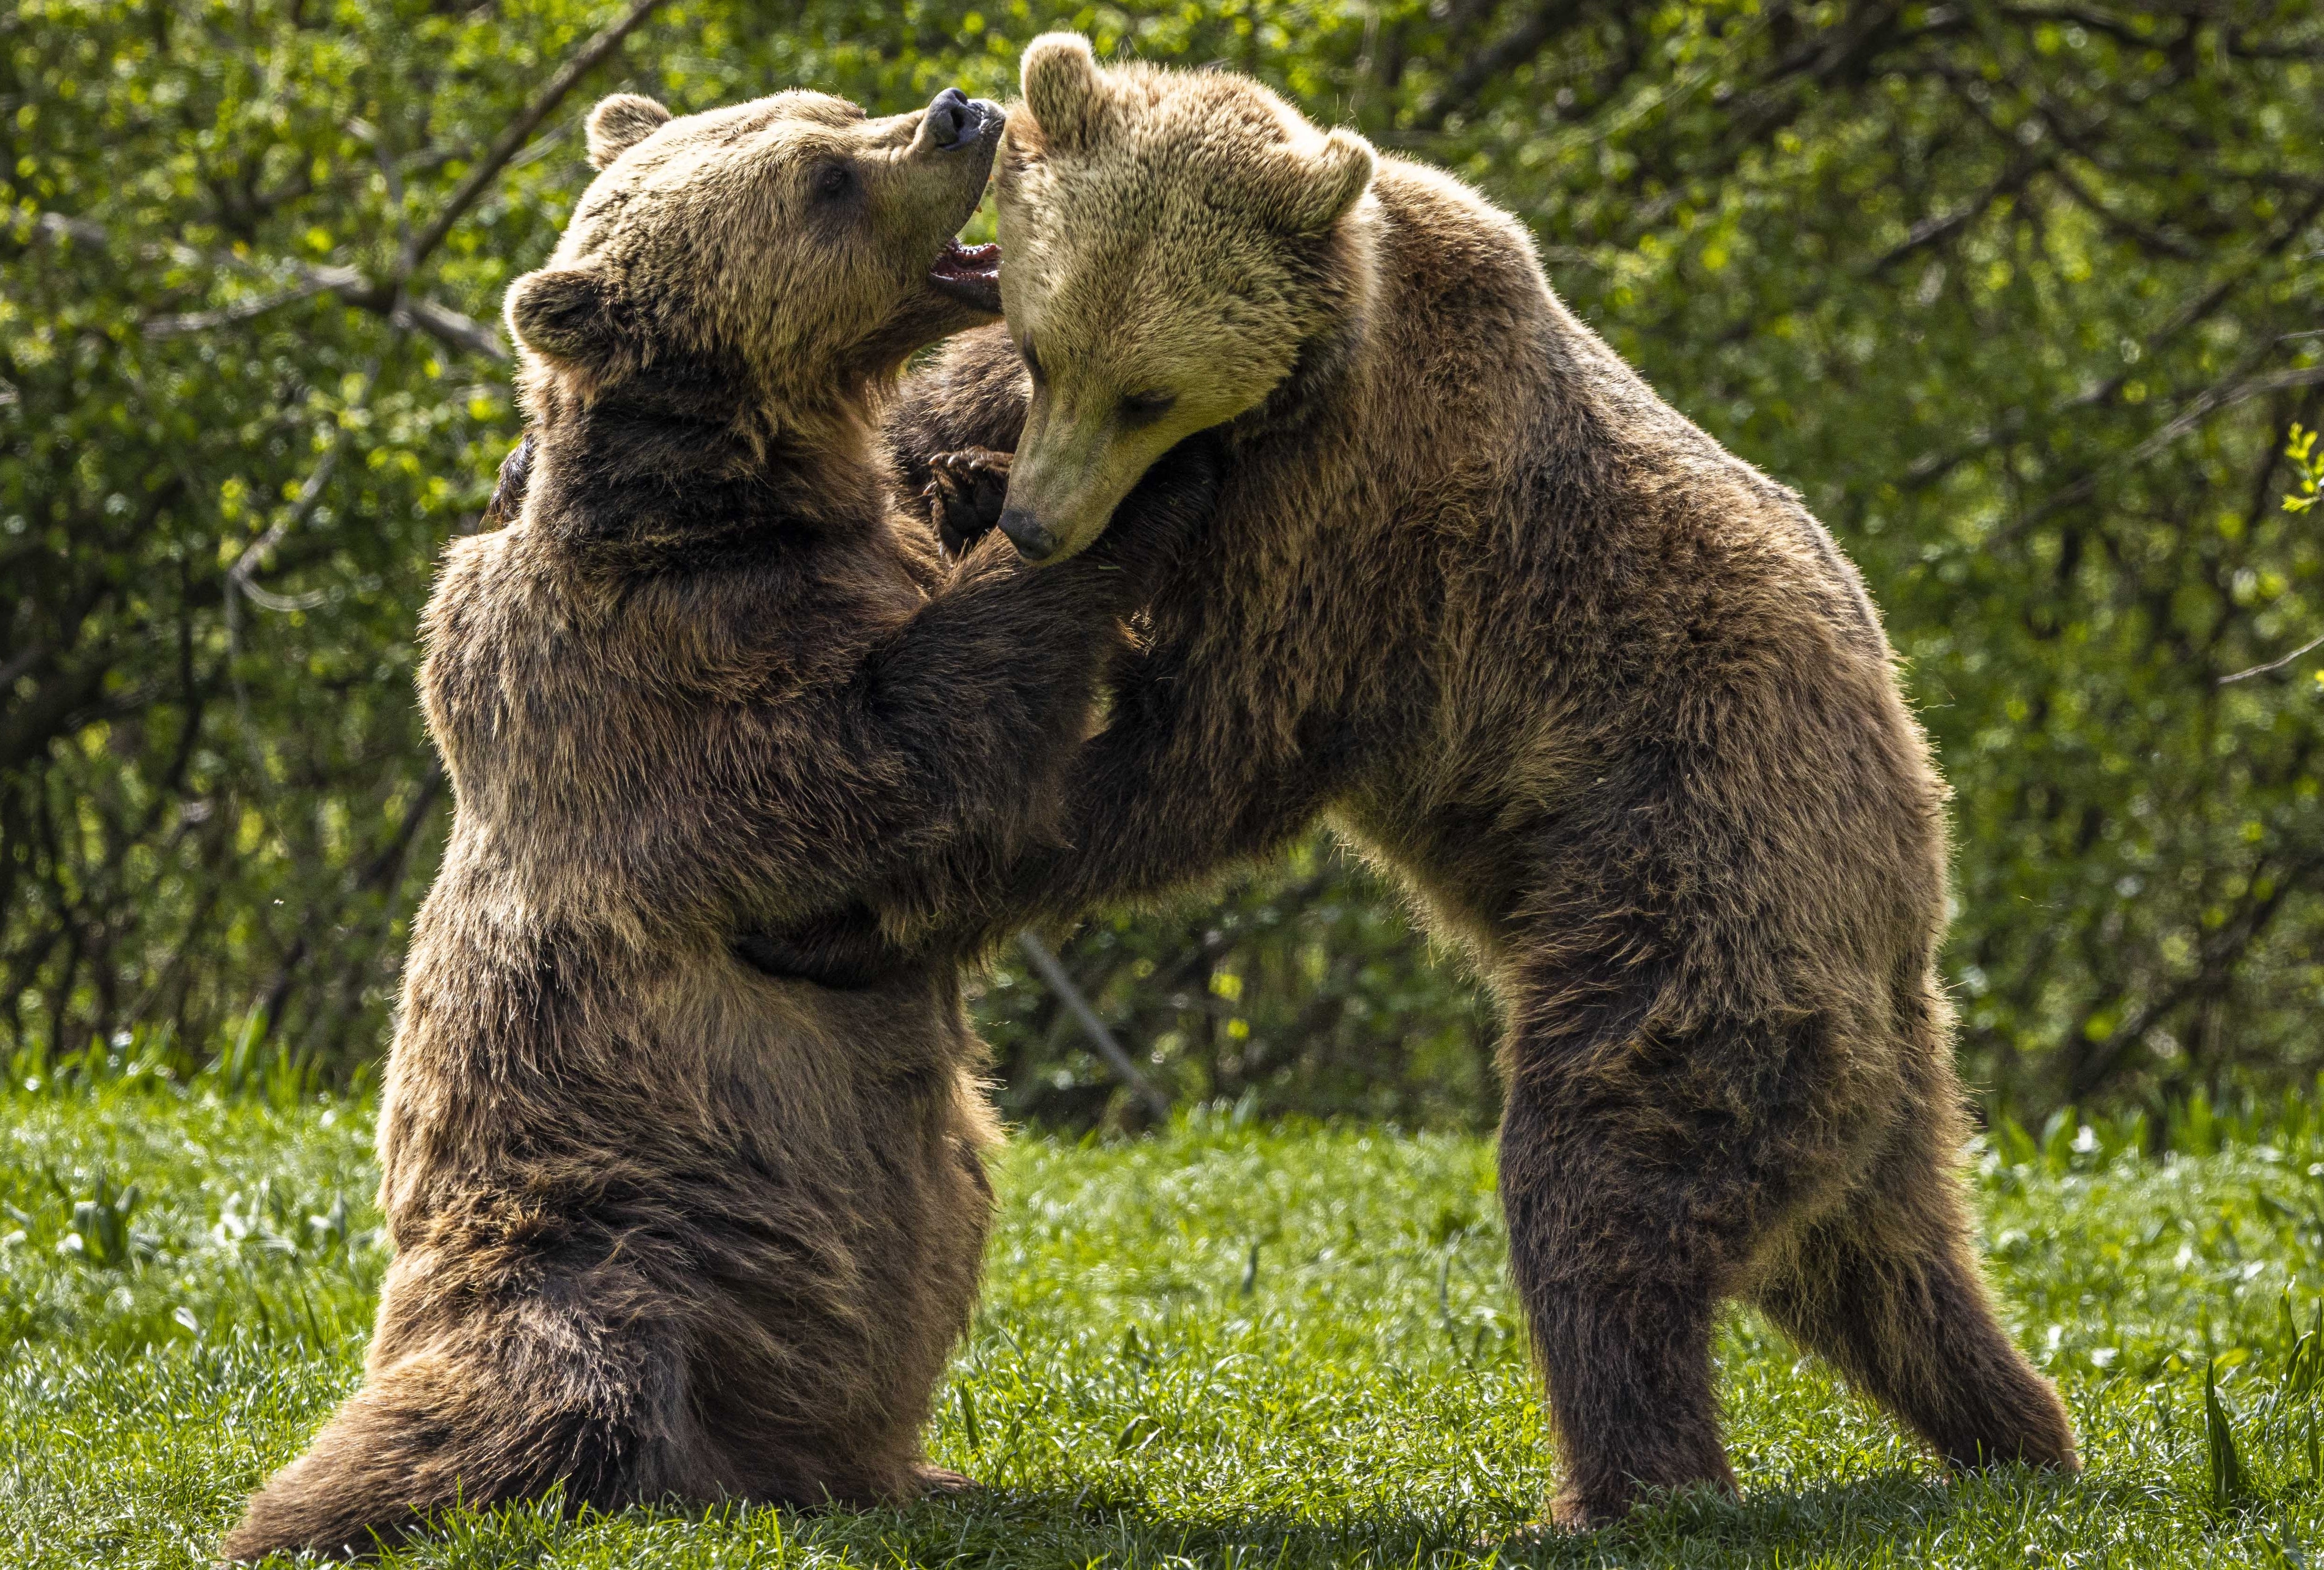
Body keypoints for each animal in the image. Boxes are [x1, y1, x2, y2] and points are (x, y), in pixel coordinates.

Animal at [220, 81, 1215, 1561]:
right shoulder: (676, 685)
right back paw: (318, 1506)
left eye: (828, 109)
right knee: (520, 1391)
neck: (743, 501)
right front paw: (1130, 493)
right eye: (820, 180)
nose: (957, 109)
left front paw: (1001, 459)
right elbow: (896, 768)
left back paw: (927, 1471)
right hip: (617, 1239)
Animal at [757, 35, 2080, 1531]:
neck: (1299, 393)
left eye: (1152, 390)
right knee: (1886, 1269)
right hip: (1872, 1081)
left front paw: (849, 911)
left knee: (1604, 1178)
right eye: (1053, 348)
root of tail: (1909, 910)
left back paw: (1622, 1483)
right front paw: (937, 477)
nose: (1042, 523)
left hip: (1697, 887)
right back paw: (2014, 1422)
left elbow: (1197, 765)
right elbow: (942, 422)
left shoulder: (1361, 528)